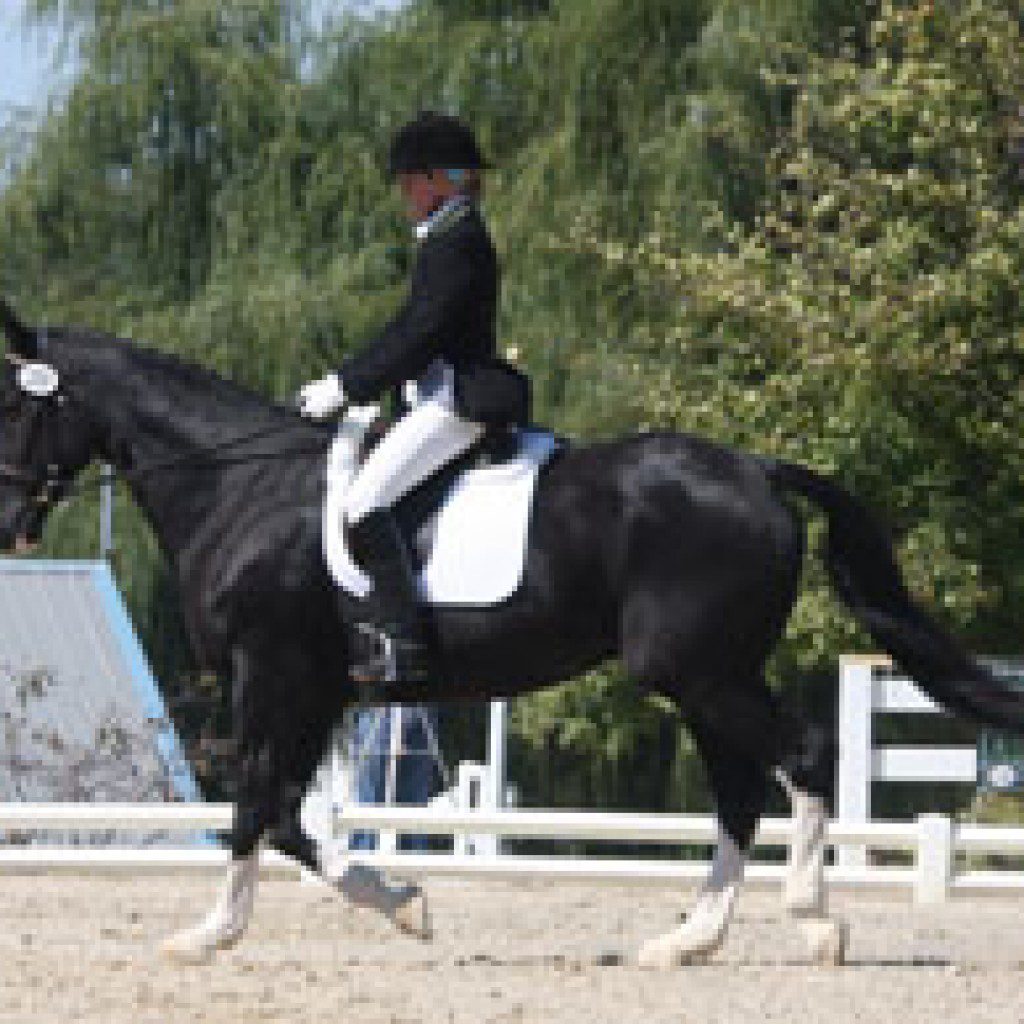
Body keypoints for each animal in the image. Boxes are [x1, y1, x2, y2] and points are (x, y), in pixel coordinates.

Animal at [2, 299, 1015, 966]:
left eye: (14, 403)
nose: (9, 522)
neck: (241, 487)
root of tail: (759, 470)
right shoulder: (318, 689)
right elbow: (289, 813)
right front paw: (403, 903)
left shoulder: (276, 673)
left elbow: (256, 803)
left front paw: (212, 932)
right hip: (705, 676)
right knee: (739, 791)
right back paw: (686, 939)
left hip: (700, 669)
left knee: (799, 757)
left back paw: (814, 922)